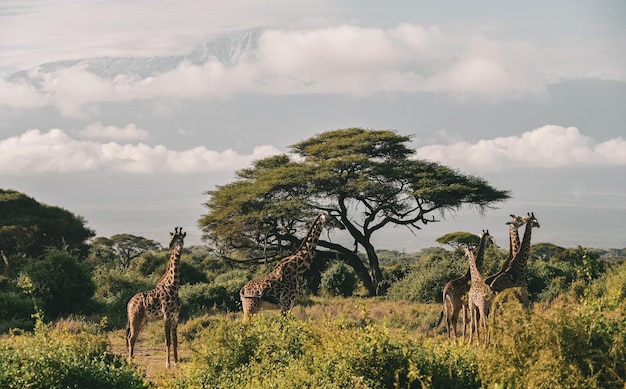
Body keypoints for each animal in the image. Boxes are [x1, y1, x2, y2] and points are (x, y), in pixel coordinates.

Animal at [125, 226, 185, 366]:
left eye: (180, 237)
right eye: (172, 237)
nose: (170, 245)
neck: (174, 286)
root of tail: (129, 303)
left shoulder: (176, 317)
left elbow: (175, 340)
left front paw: (176, 363)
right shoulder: (166, 317)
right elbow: (167, 341)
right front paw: (167, 364)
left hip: (142, 320)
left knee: (132, 337)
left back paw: (132, 359)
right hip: (135, 318)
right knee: (131, 338)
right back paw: (130, 362)